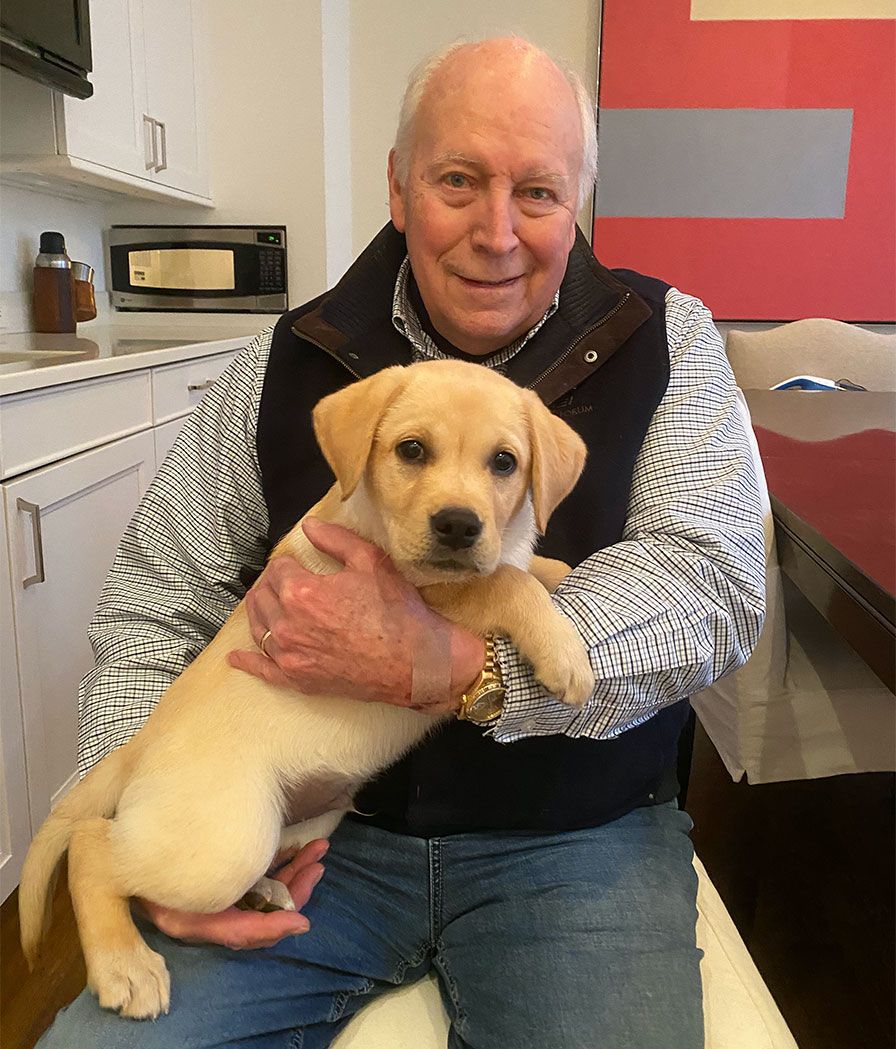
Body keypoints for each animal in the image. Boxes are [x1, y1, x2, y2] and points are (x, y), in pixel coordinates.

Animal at [19, 358, 595, 1015]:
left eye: (504, 462)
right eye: (412, 450)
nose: (458, 525)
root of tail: (135, 750)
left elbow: (534, 568)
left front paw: (559, 577)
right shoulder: (417, 591)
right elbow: (502, 583)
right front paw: (566, 654)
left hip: (299, 820)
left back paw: (262, 895)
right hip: (223, 843)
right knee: (92, 846)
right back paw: (126, 967)